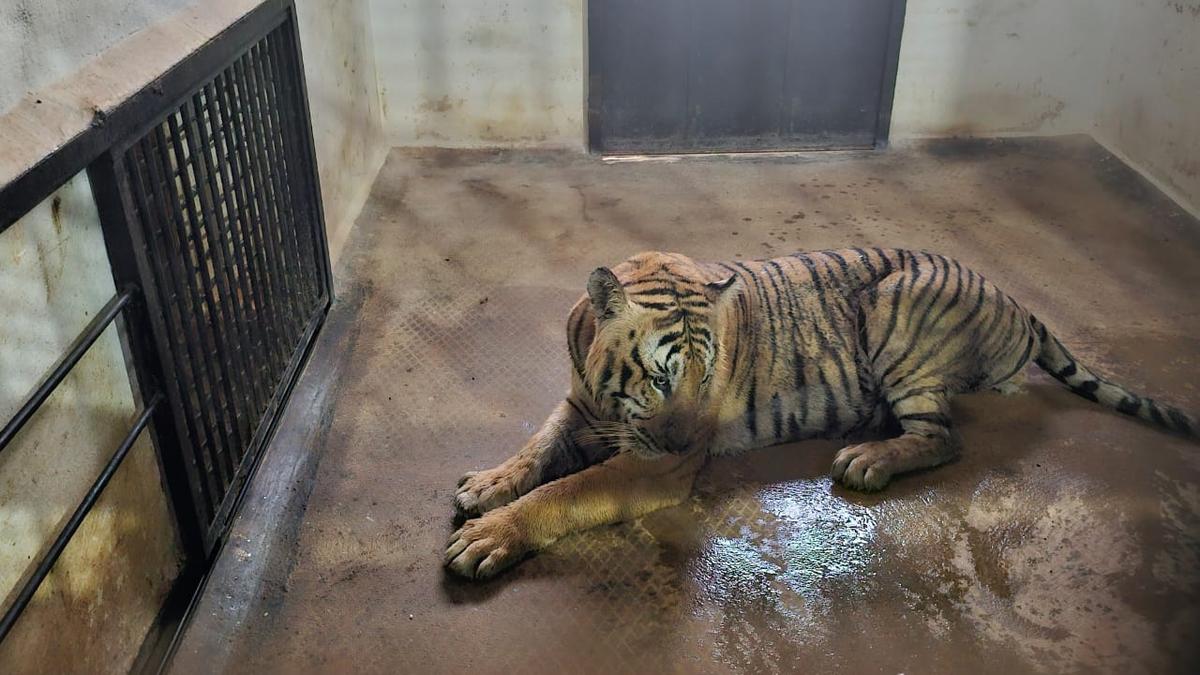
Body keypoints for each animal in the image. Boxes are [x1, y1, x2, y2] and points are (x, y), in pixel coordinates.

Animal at [444, 248, 1196, 579]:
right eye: (659, 377)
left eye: (704, 375)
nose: (686, 442)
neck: (608, 403)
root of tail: (1016, 300)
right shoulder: (577, 404)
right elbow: (538, 450)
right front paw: (487, 485)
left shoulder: (653, 468)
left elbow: (568, 490)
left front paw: (489, 535)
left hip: (895, 308)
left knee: (943, 437)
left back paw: (868, 457)